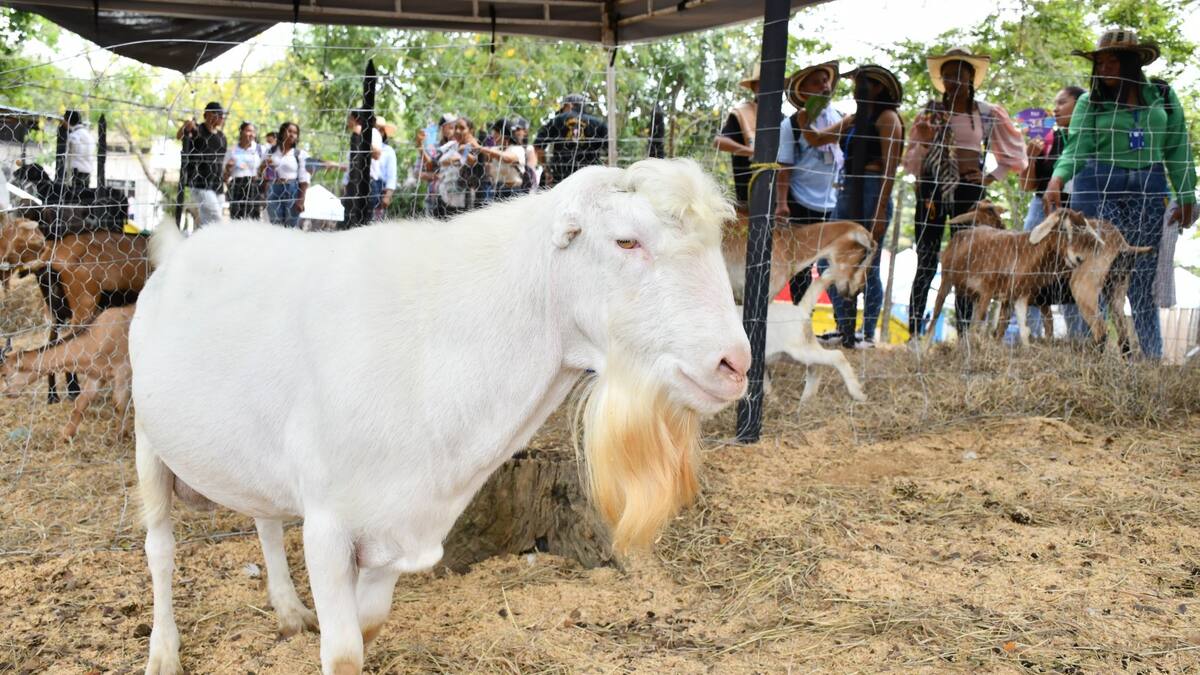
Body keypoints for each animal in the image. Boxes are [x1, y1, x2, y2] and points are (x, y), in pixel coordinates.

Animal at [0, 305, 133, 441]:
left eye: (4, 374)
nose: (4, 392)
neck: (98, 338)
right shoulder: (96, 375)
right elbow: (81, 402)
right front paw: (67, 434)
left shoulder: (123, 372)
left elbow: (119, 403)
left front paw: (122, 435)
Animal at [129, 158, 751, 675]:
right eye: (626, 240)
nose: (735, 364)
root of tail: (182, 248)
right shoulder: (329, 524)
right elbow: (344, 651)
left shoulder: (397, 526)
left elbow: (369, 627)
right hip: (147, 439)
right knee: (160, 550)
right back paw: (164, 652)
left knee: (264, 520)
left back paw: (287, 610)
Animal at [927, 209, 1103, 346]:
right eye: (1063, 229)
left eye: (1084, 231)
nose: (1079, 259)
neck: (1024, 252)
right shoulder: (987, 292)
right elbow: (981, 326)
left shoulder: (1019, 296)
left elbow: (1023, 330)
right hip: (946, 280)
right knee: (935, 317)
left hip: (975, 294)